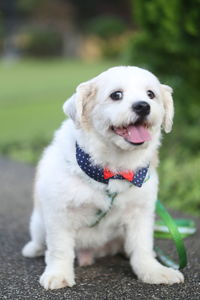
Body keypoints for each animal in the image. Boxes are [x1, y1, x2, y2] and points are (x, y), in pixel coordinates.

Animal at [22, 66, 184, 290]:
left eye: (150, 94)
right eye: (116, 95)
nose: (143, 106)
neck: (113, 170)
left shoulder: (140, 213)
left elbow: (142, 246)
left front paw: (152, 271)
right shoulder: (59, 213)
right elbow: (59, 249)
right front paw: (58, 273)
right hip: (38, 222)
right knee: (40, 241)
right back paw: (33, 249)